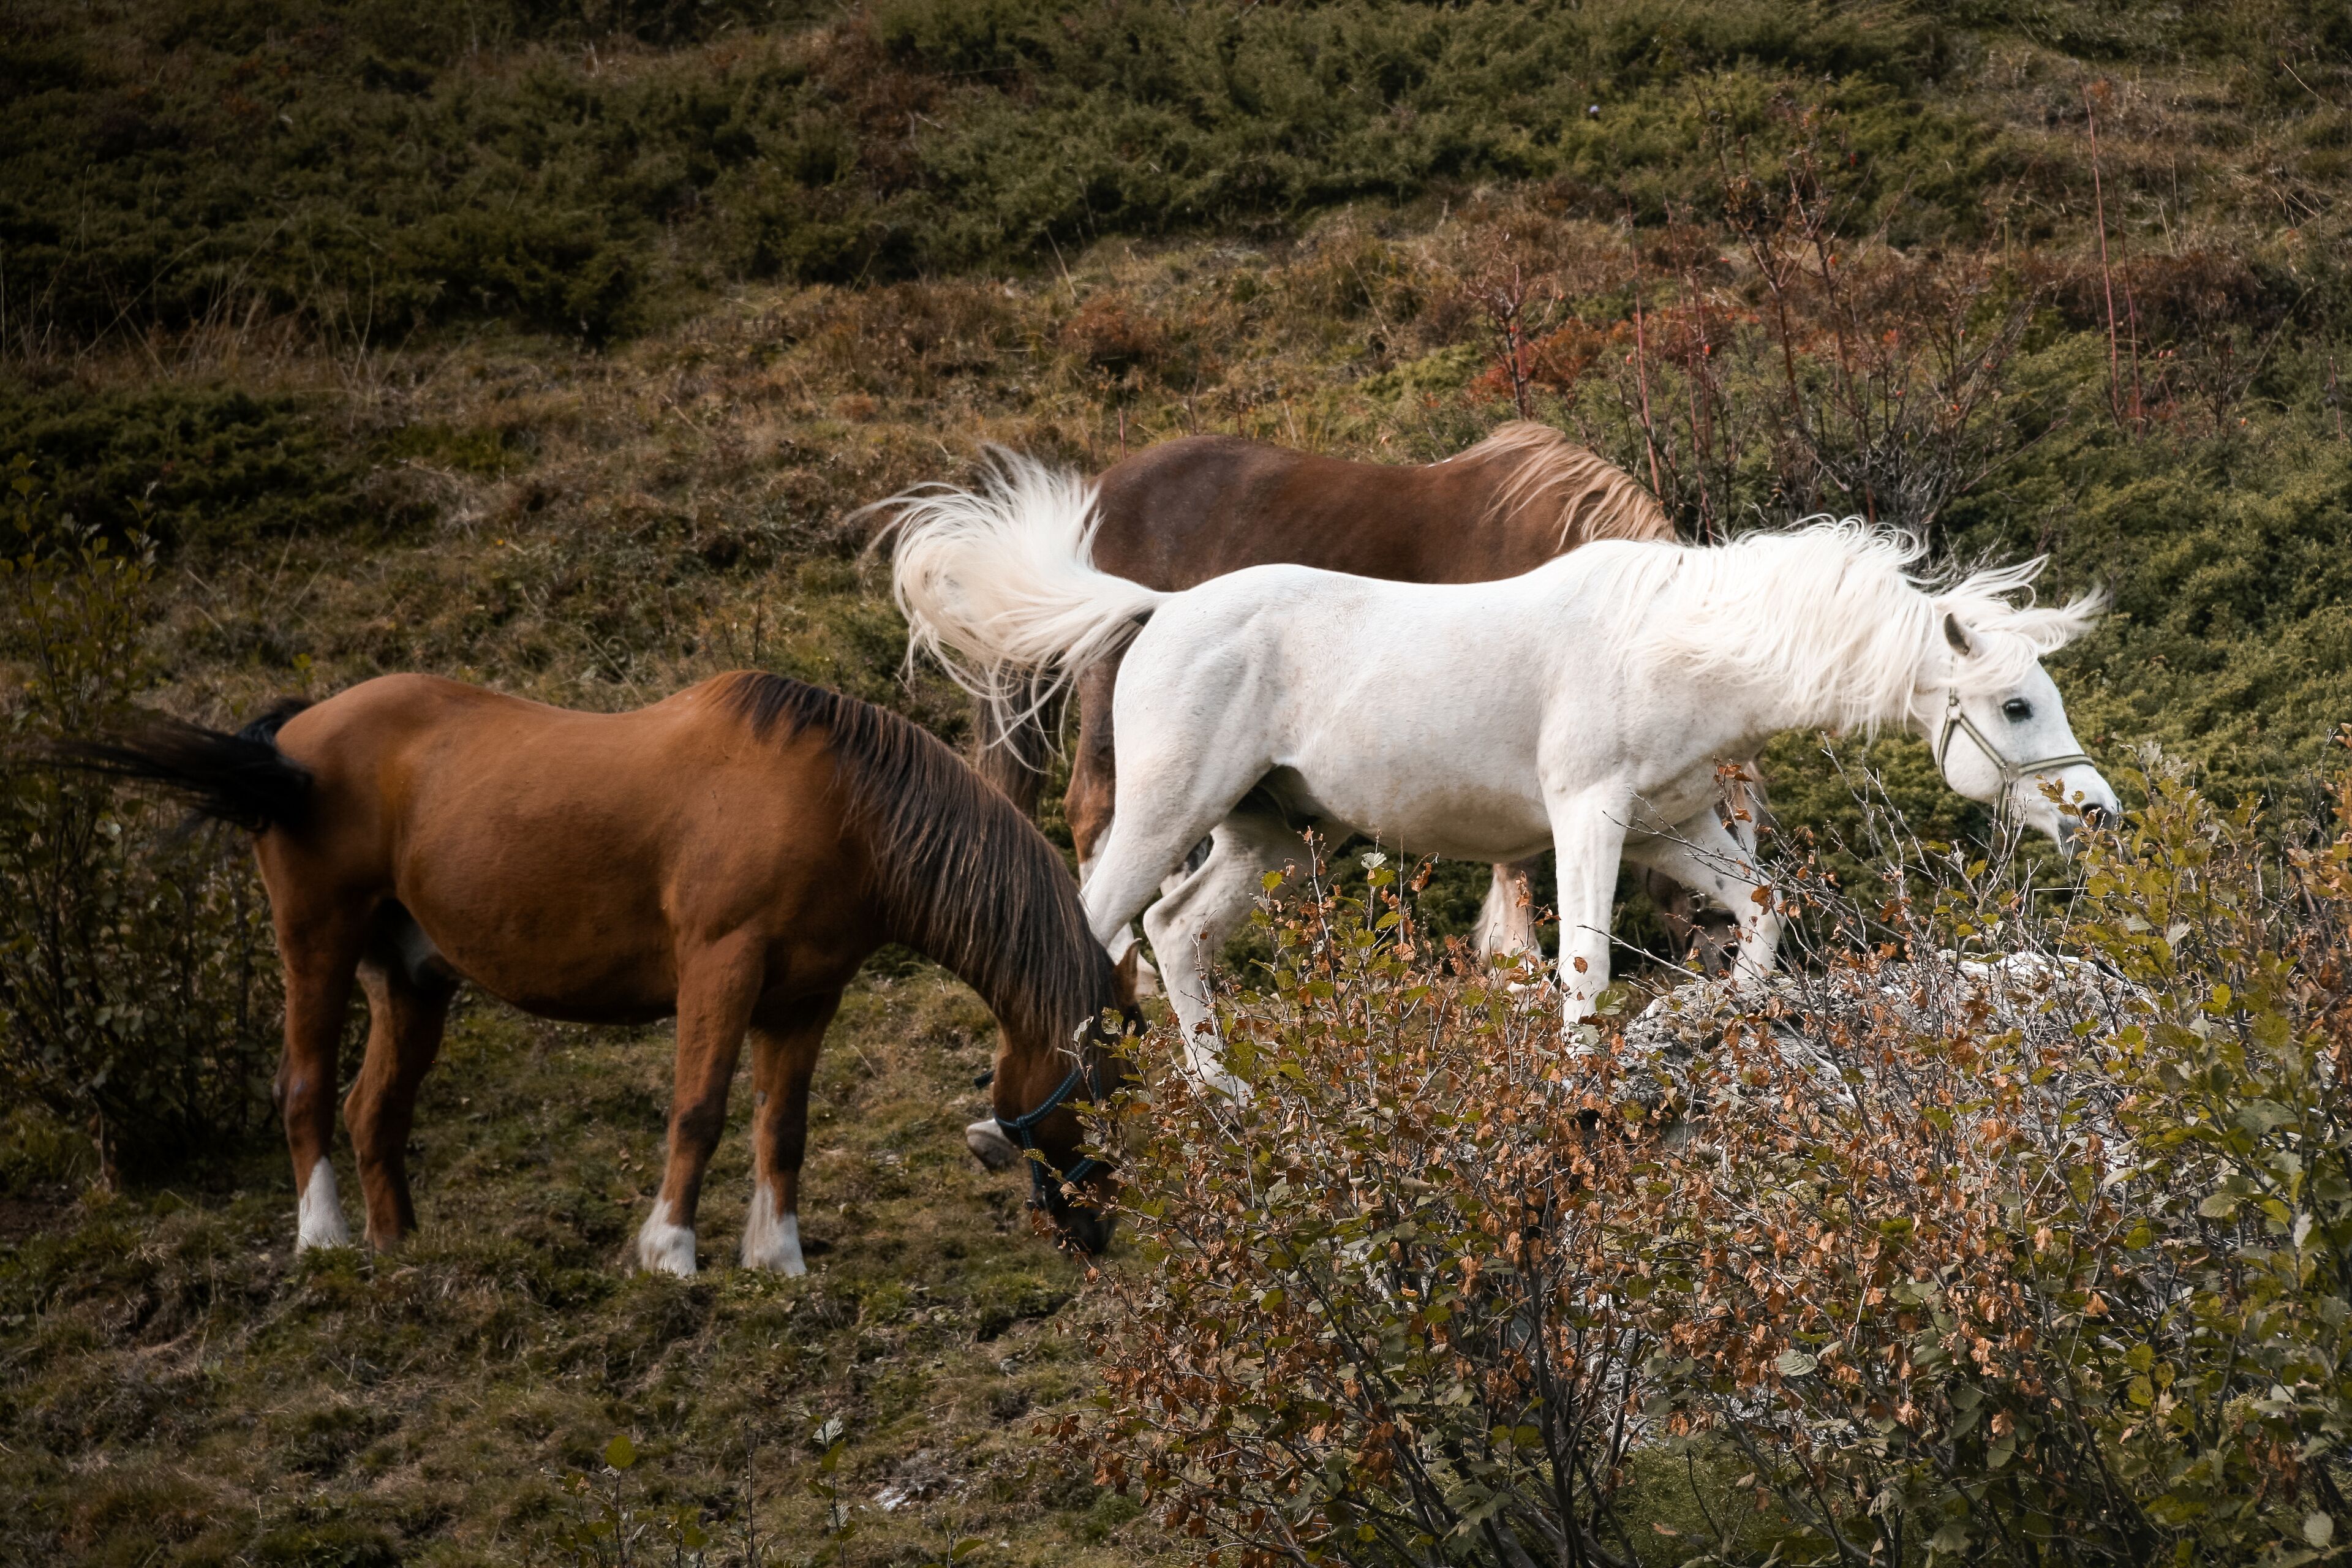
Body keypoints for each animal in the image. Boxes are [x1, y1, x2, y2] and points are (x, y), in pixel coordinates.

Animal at [62, 672, 1137, 1272]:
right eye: (1109, 1090)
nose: (1099, 1232)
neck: (840, 807)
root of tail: (293, 739)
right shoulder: (720, 967)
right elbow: (700, 1110)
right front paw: (671, 1253)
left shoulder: (803, 998)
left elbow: (781, 1128)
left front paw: (776, 1257)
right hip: (315, 946)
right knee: (304, 1089)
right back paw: (322, 1241)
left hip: (413, 981)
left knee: (375, 1112)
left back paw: (397, 1250)